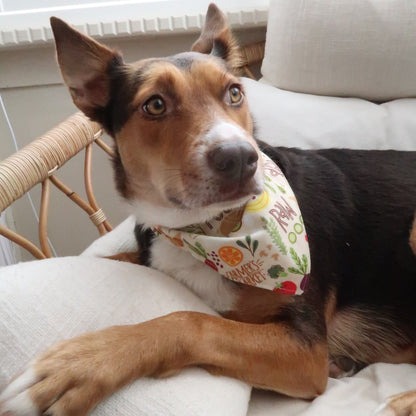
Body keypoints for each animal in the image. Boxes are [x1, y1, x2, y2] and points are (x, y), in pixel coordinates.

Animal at [0, 3, 416, 416]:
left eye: (234, 93)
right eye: (155, 104)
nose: (241, 158)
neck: (207, 229)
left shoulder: (307, 350)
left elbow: (192, 321)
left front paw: (82, 364)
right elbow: (112, 259)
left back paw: (398, 402)